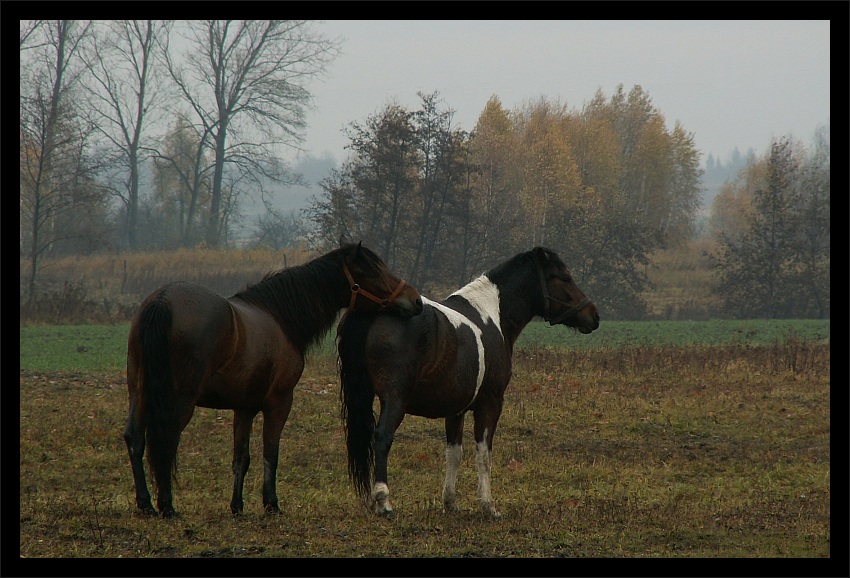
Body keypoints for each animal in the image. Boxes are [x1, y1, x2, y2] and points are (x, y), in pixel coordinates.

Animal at [124, 241, 422, 516]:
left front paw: (237, 506)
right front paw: (271, 503)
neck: (281, 318)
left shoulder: (244, 407)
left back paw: (145, 504)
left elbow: (241, 458)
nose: (416, 301)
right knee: (165, 440)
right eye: (373, 271)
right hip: (180, 400)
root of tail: (163, 300)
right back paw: (167, 506)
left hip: (139, 393)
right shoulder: (279, 402)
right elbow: (271, 452)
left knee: (135, 439)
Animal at [336, 245, 596, 516]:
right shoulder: (491, 403)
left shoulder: (456, 409)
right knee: (382, 437)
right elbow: (484, 453)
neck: (492, 314)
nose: (594, 316)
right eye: (564, 277)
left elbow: (454, 453)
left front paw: (450, 502)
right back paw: (383, 501)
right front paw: (488, 505)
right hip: (395, 400)